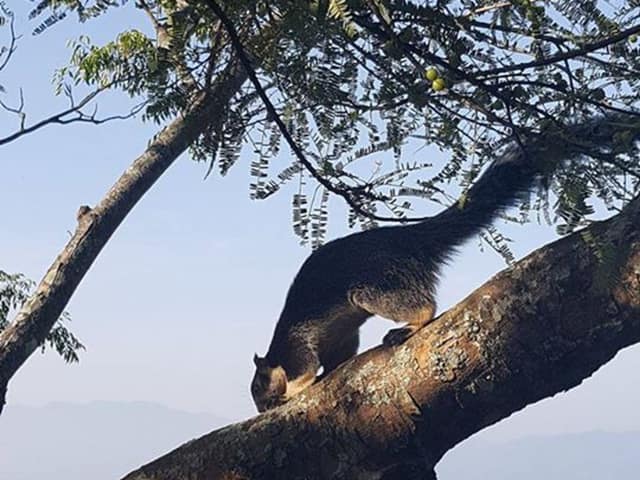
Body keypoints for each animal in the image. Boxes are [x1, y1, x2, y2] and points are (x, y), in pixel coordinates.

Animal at [250, 114, 640, 412]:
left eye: (258, 387)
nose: (260, 409)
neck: (276, 349)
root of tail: (410, 239)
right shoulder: (338, 338)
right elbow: (337, 360)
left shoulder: (296, 342)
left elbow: (304, 370)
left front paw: (291, 392)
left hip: (379, 282)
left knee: (420, 304)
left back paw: (410, 325)